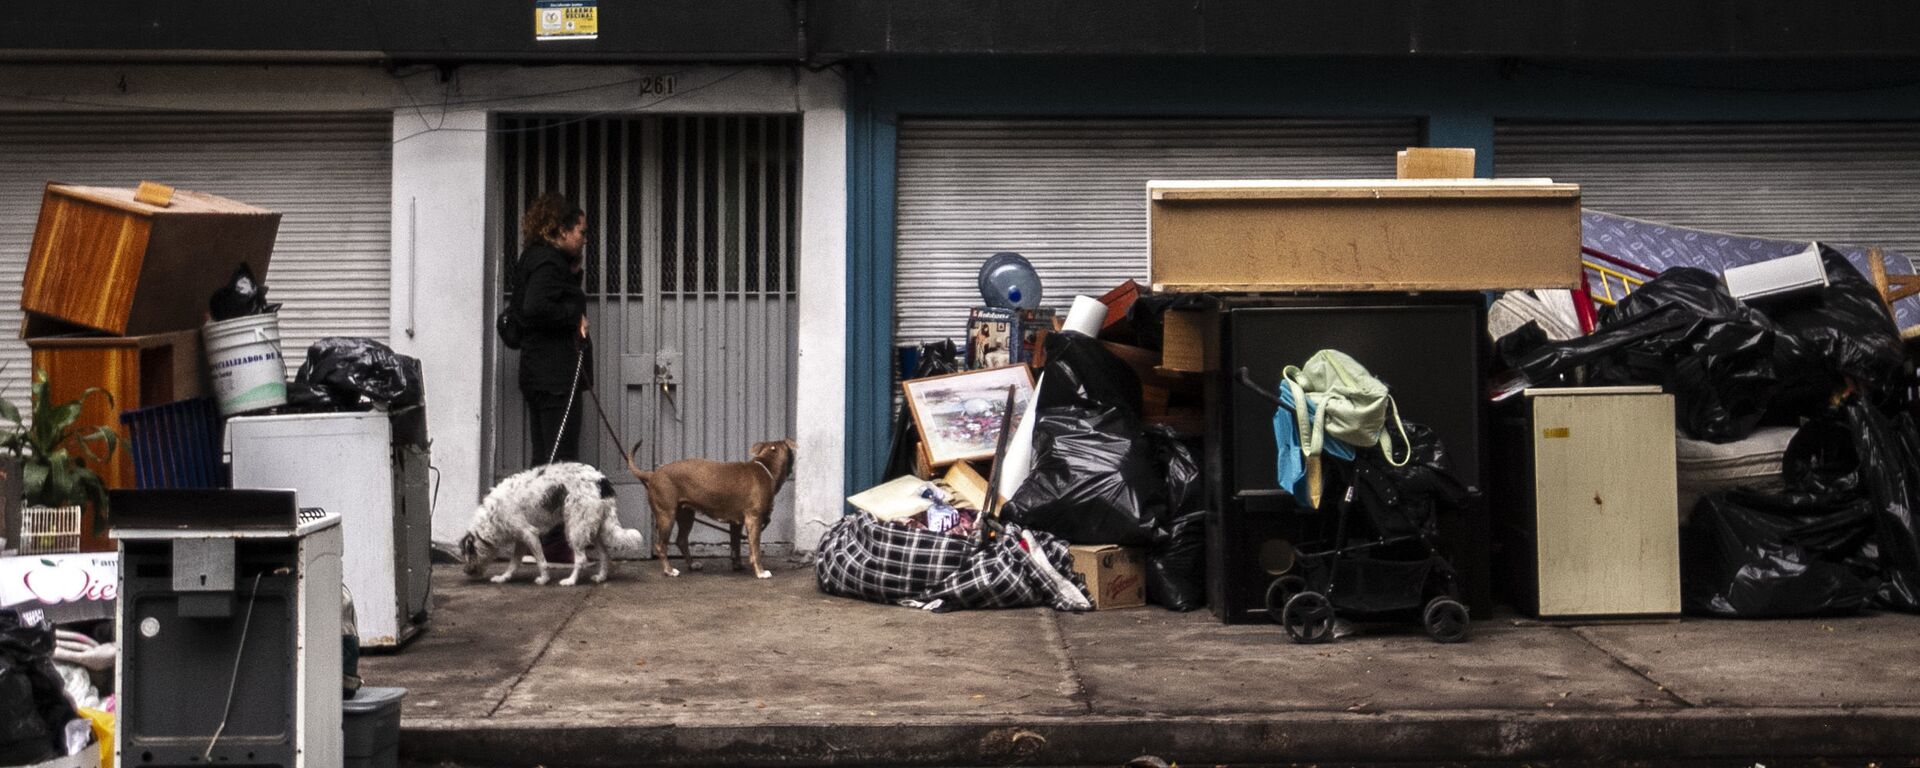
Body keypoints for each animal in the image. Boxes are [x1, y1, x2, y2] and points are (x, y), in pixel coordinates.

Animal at [460, 464, 648, 583]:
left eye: (469, 553)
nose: (465, 572)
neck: (493, 515)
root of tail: (601, 481)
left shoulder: (529, 533)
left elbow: (541, 561)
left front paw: (544, 579)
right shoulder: (521, 539)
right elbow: (513, 564)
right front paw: (504, 578)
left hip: (575, 529)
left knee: (581, 559)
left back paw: (570, 581)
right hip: (593, 529)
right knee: (604, 555)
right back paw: (600, 577)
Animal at [622, 437, 787, 576]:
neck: (765, 467)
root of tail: (653, 474)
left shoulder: (737, 523)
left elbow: (736, 547)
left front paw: (738, 565)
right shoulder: (754, 520)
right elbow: (755, 549)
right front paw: (760, 572)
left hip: (686, 517)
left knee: (681, 540)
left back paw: (691, 564)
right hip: (666, 517)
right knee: (661, 546)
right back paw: (669, 570)